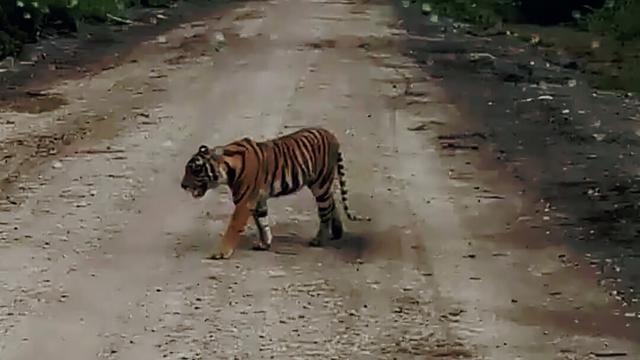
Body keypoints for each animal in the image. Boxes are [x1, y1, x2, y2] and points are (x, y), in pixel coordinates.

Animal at [180, 126, 370, 258]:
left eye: (195, 169)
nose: (182, 185)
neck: (228, 168)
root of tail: (331, 135)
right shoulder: (258, 200)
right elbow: (262, 222)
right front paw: (265, 243)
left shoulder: (244, 202)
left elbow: (233, 228)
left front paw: (221, 252)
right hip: (320, 185)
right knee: (331, 202)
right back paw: (337, 231)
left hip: (320, 184)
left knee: (325, 211)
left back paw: (318, 240)